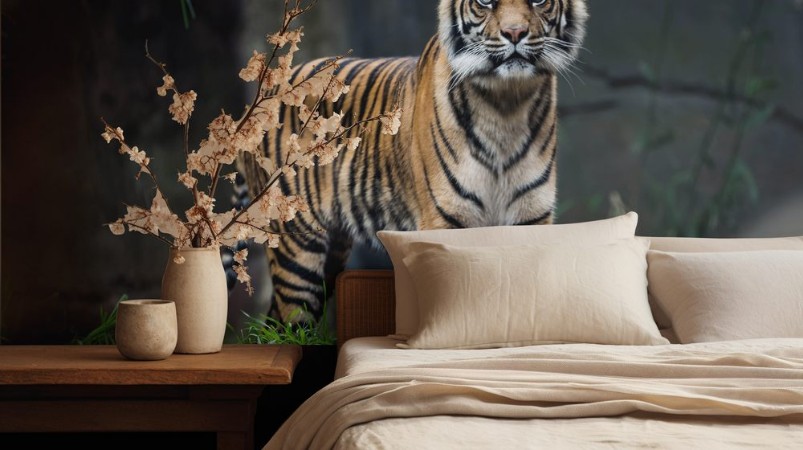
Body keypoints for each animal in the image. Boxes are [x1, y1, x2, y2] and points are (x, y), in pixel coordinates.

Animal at [237, 0, 589, 322]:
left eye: (538, 1)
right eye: (485, 2)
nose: (515, 33)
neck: (506, 104)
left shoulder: (531, 217)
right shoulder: (445, 219)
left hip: (333, 250)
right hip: (296, 245)